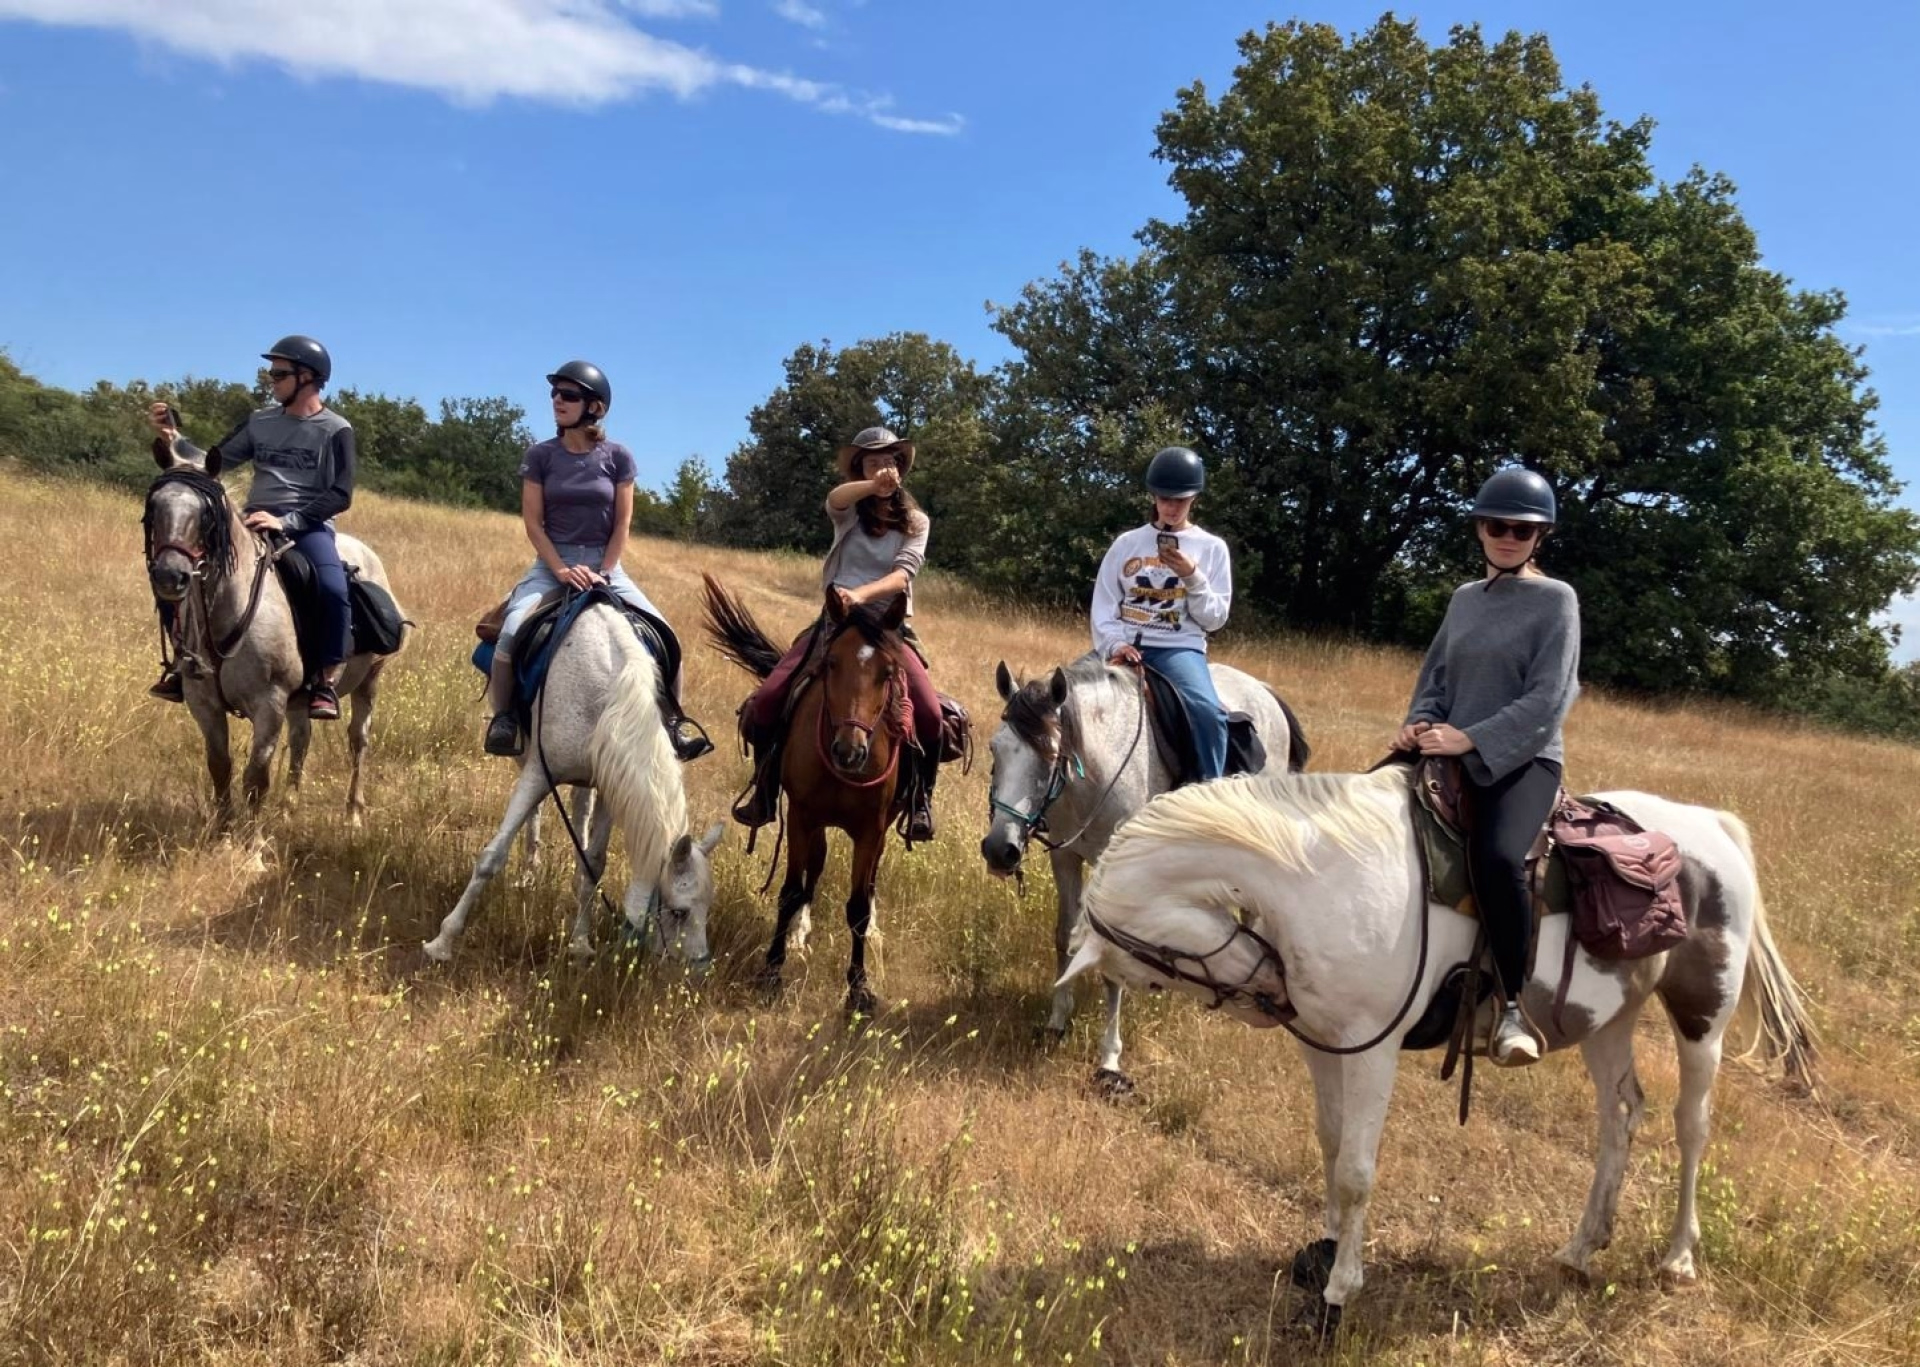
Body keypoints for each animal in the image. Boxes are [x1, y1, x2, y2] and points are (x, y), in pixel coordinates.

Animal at [142, 437, 403, 828]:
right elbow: (219, 766)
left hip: (369, 681)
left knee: (358, 741)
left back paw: (353, 814)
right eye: (154, 506)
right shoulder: (204, 703)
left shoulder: (270, 704)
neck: (227, 611)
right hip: (300, 701)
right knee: (301, 740)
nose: (170, 576)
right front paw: (222, 830)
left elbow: (256, 778)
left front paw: (252, 841)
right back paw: (288, 809)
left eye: (206, 515)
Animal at [425, 598, 723, 966]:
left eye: (708, 906)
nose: (699, 969)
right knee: (536, 811)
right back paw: (529, 871)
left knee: (580, 811)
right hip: (525, 755)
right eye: (680, 911)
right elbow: (491, 858)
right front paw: (442, 942)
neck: (610, 696)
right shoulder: (539, 772)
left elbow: (592, 866)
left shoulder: (612, 788)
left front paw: (580, 943)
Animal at [702, 575, 910, 1014]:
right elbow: (789, 891)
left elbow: (858, 906)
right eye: (831, 663)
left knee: (868, 881)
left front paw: (859, 987)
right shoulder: (801, 816)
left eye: (887, 673)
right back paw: (799, 933)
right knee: (814, 867)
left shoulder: (871, 830)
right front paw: (771, 971)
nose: (849, 751)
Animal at [980, 652, 1309, 1091]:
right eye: (994, 748)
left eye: (1050, 755)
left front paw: (1110, 1058)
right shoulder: (1065, 858)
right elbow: (1064, 935)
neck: (1096, 774)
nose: (999, 850)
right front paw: (1056, 1021)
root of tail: (1266, 693)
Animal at [1061, 767, 1817, 1326]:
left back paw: (1679, 1256)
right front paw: (1324, 1249)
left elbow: (1356, 1169)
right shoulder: (1325, 1043)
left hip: (1702, 1017)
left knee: (1692, 1126)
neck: (1319, 879)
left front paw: (1338, 1295)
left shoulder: (1373, 1048)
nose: (1267, 991)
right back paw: (1581, 1247)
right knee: (1622, 1115)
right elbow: (1330, 1142)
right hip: (1608, 1021)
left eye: (1152, 969)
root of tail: (1710, 826)